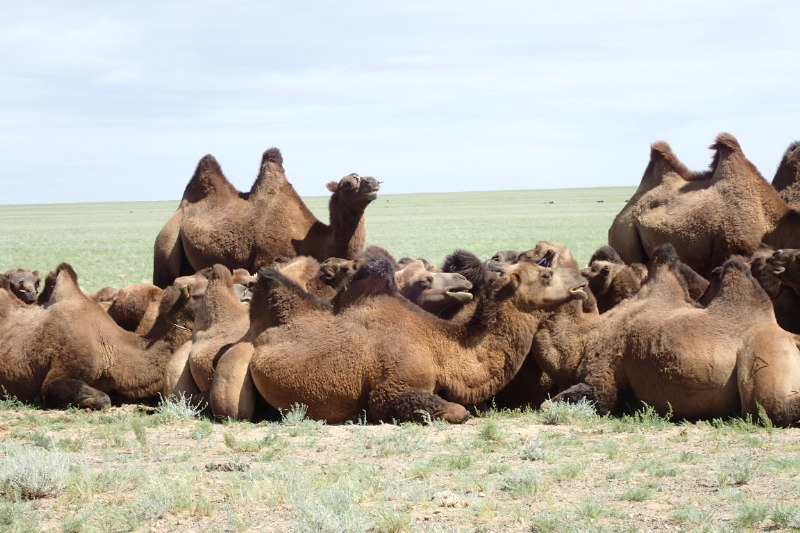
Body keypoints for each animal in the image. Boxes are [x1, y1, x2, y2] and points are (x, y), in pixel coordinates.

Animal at [212, 255, 588, 424]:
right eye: (546, 274)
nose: (581, 279)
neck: (440, 348)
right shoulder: (390, 391)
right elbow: (457, 411)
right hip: (234, 368)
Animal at [552, 246, 800, 428]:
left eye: (593, 268)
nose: (579, 278)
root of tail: (792, 338)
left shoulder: (603, 375)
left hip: (760, 362)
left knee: (772, 409)